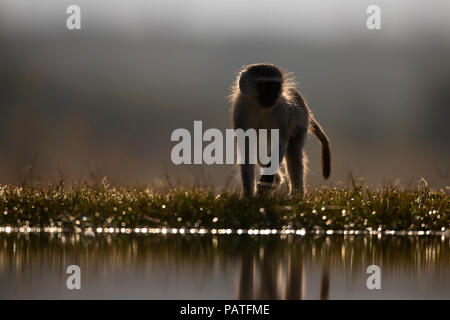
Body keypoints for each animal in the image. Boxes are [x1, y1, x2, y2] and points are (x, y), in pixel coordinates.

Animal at [230, 62, 328, 196]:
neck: (262, 108)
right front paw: (248, 195)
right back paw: (277, 180)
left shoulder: (282, 112)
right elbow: (246, 148)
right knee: (260, 151)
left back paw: (296, 194)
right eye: (263, 86)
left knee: (293, 151)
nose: (271, 96)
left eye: (274, 86)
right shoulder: (241, 111)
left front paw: (265, 182)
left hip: (300, 123)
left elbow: (280, 143)